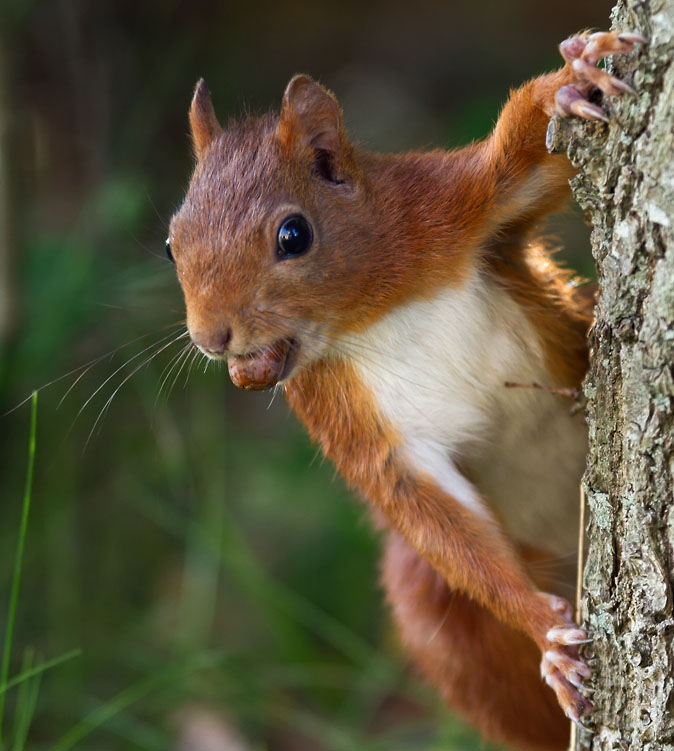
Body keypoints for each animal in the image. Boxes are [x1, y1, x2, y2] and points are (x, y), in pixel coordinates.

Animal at [165, 30, 644, 751]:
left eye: (293, 235)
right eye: (172, 243)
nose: (212, 338)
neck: (369, 316)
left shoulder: (444, 206)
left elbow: (520, 163)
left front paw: (567, 83)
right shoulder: (353, 421)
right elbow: (421, 505)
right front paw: (547, 635)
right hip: (437, 615)